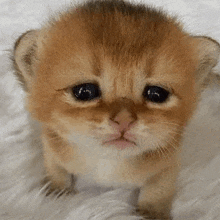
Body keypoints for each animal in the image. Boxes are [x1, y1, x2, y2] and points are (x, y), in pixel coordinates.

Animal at [12, 0, 220, 218]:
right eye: (84, 92)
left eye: (156, 94)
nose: (124, 120)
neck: (108, 163)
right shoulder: (51, 145)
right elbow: (55, 169)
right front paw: (56, 191)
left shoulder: (169, 163)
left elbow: (159, 189)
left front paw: (151, 213)